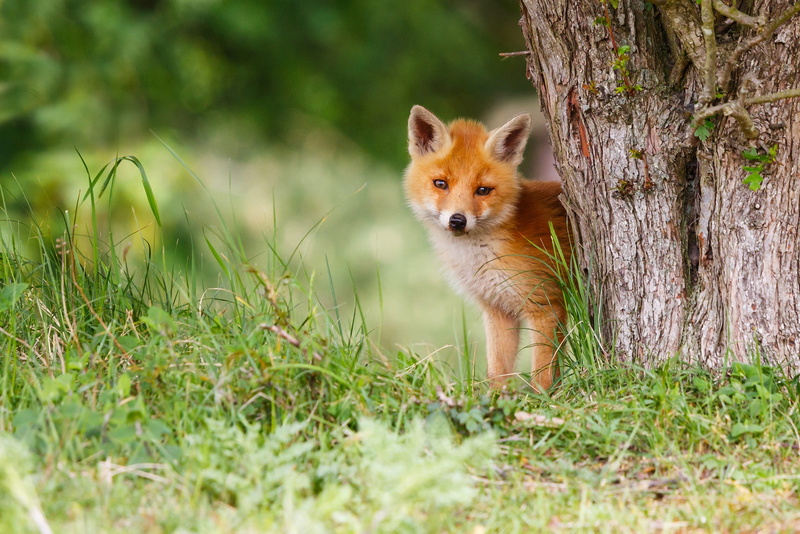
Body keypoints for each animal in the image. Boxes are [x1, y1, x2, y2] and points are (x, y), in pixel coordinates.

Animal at [404, 105, 570, 391]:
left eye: (483, 190)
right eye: (441, 184)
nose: (457, 220)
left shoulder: (546, 305)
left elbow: (543, 374)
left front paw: (544, 400)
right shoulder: (498, 310)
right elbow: (498, 371)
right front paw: (496, 399)